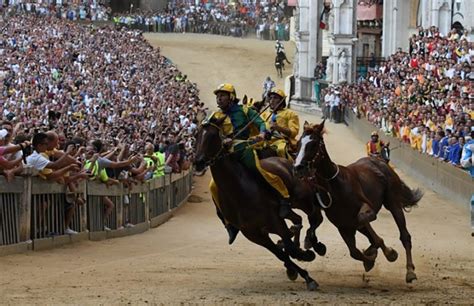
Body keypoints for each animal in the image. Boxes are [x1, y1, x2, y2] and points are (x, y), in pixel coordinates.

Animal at [194, 116, 324, 290]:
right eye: (197, 135)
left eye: (213, 136)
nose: (199, 162)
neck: (239, 191)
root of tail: (287, 161)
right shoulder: (253, 234)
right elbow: (281, 254)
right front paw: (299, 272)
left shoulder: (275, 221)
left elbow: (289, 248)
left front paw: (305, 257)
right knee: (298, 220)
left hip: (302, 199)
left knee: (314, 217)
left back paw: (314, 244)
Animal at [294, 120, 424, 284]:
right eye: (299, 143)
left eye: (313, 144)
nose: (298, 167)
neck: (334, 185)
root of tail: (381, 163)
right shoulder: (343, 226)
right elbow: (354, 252)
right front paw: (370, 258)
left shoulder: (365, 208)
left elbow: (364, 221)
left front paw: (387, 252)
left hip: (393, 202)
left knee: (404, 235)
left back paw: (410, 271)